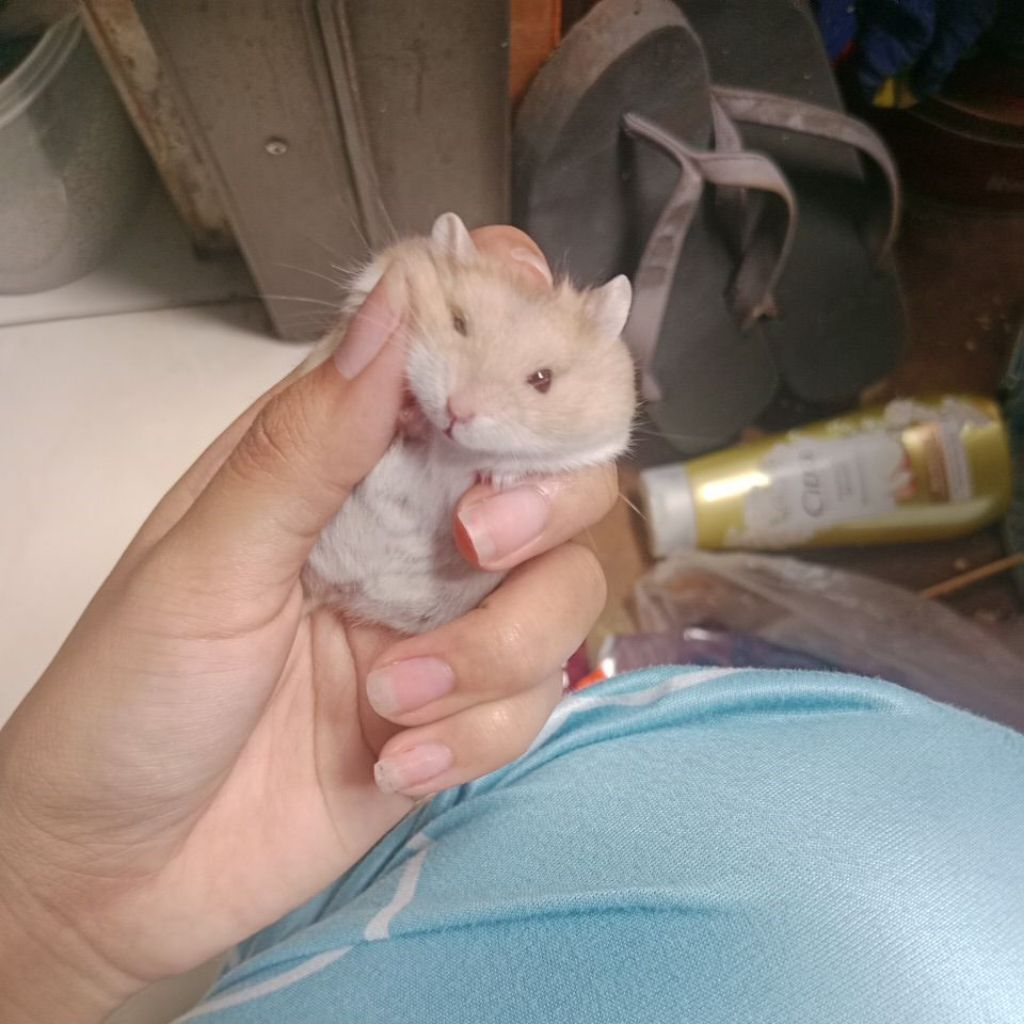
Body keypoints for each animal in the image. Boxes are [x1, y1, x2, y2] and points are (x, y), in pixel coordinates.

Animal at [302, 212, 636, 633]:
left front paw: (497, 478)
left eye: (542, 379)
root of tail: (340, 591)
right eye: (458, 322)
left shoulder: (599, 442)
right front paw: (412, 417)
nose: (455, 414)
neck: (448, 447)